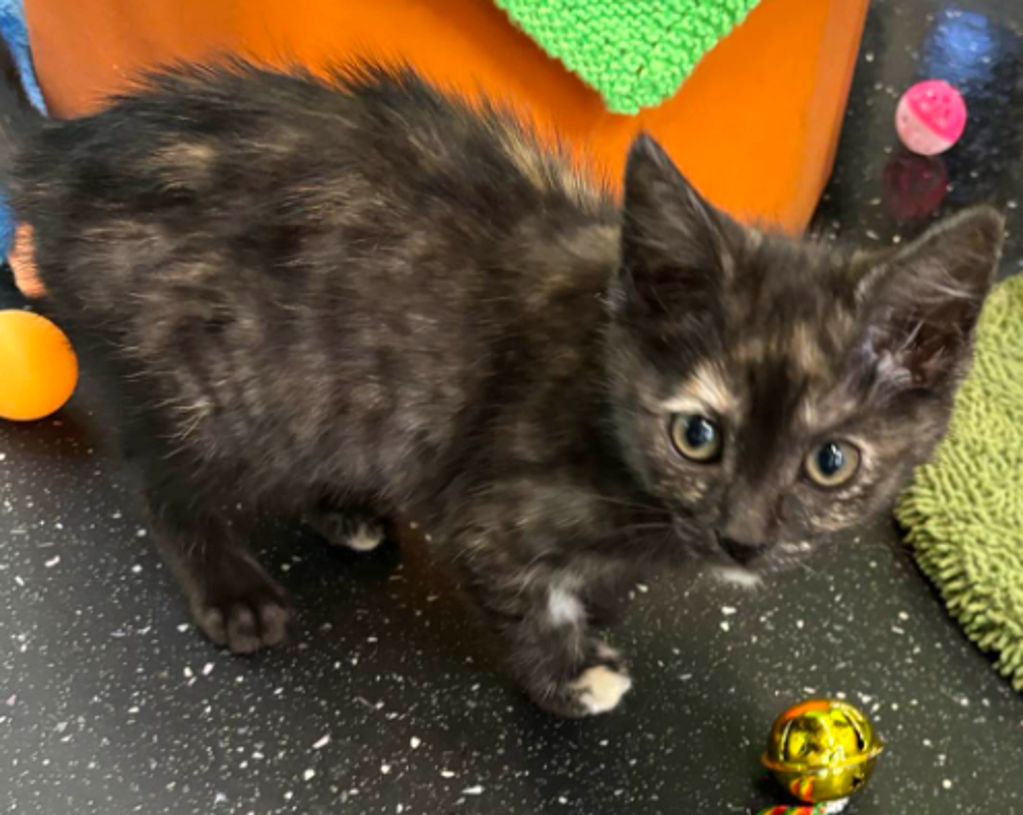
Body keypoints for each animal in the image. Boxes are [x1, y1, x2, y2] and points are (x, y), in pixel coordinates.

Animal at [0, 52, 1003, 717]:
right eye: (697, 436)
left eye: (831, 460)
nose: (743, 539)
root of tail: (57, 156)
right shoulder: (492, 511)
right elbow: (526, 597)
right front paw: (572, 673)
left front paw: (601, 610)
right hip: (209, 385)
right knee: (162, 478)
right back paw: (231, 589)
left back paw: (342, 507)